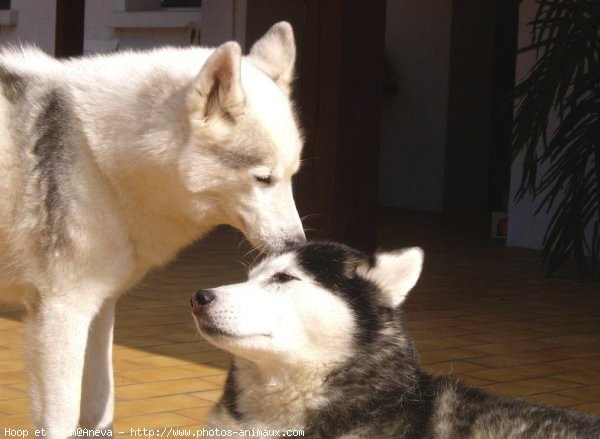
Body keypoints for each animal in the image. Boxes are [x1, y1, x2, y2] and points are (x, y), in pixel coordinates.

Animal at [0, 22, 302, 438]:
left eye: (292, 176)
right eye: (263, 178)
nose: (298, 244)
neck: (98, 157)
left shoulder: (99, 309)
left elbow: (100, 409)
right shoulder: (61, 314)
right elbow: (62, 418)